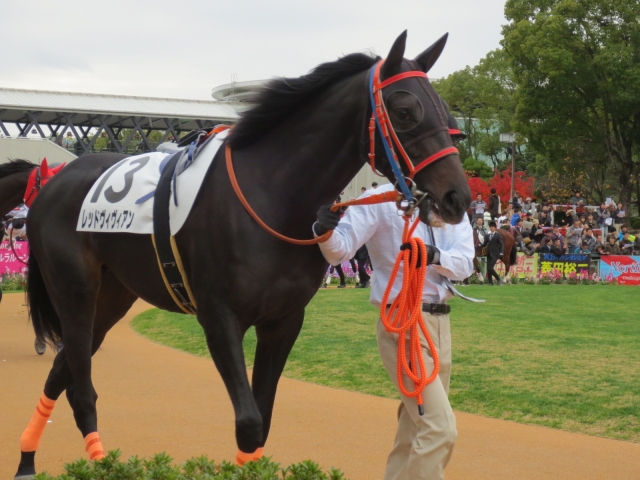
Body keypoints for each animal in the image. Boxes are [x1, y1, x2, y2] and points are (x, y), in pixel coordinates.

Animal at [11, 31, 470, 476]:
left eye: (448, 115)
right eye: (406, 111)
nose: (458, 197)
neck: (270, 192)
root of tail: (53, 183)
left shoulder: (284, 321)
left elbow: (262, 420)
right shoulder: (219, 318)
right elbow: (248, 423)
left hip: (112, 296)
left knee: (61, 370)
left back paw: (28, 459)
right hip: (74, 290)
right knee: (81, 389)